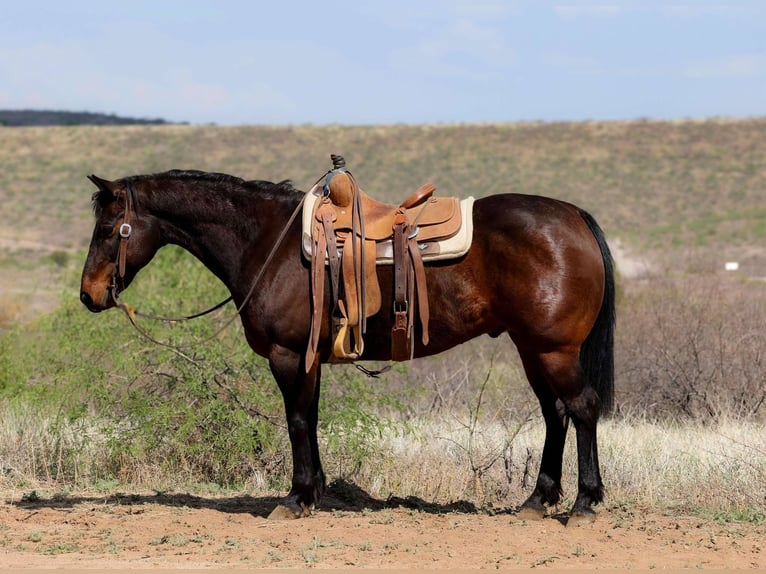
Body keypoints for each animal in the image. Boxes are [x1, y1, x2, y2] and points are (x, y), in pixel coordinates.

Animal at [80, 168, 615, 523]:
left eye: (108, 229)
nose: (88, 295)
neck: (268, 241)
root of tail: (573, 216)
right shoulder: (309, 358)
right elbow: (311, 419)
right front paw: (316, 492)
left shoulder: (287, 355)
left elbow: (296, 421)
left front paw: (295, 498)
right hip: (532, 350)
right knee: (556, 415)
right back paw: (537, 501)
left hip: (553, 351)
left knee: (582, 407)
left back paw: (584, 503)